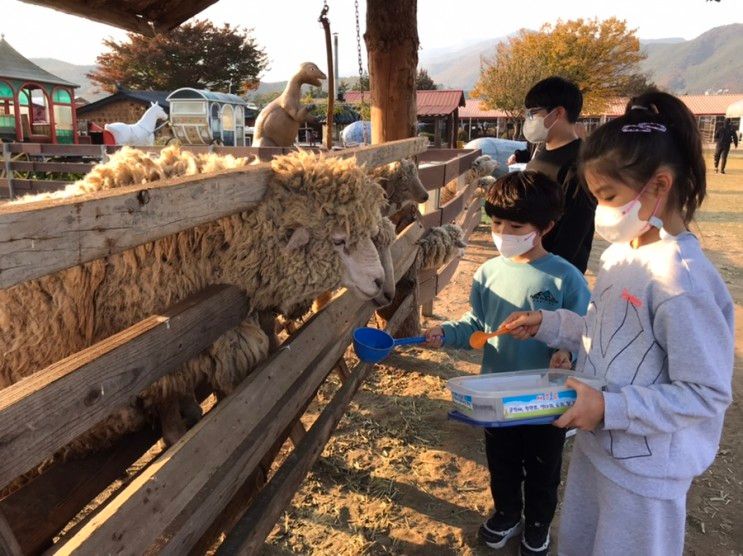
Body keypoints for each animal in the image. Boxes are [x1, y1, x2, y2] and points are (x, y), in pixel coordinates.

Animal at [0, 144, 392, 474]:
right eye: (339, 240)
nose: (380, 284)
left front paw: (190, 410)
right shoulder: (158, 352)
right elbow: (169, 402)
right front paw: (177, 431)